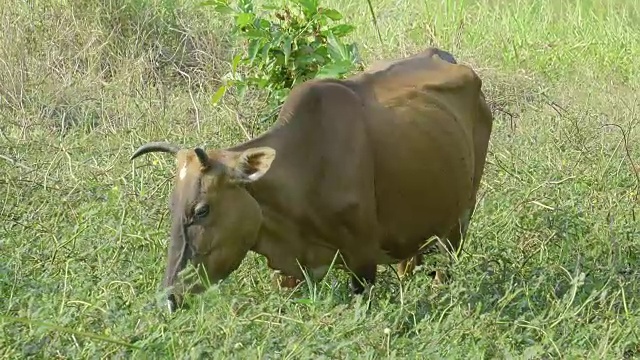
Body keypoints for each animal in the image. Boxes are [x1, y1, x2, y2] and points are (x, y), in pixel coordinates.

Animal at [129, 47, 490, 312]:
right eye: (172, 206)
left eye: (202, 209)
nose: (168, 299)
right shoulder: (289, 275)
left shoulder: (363, 259)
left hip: (460, 219)